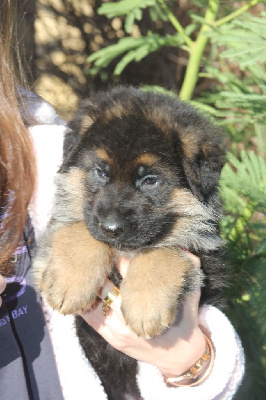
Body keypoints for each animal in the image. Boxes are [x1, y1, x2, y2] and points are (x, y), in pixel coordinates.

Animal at [33, 86, 227, 398]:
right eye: (101, 172)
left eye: (150, 180)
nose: (112, 228)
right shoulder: (48, 253)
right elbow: (81, 227)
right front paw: (70, 283)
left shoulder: (206, 261)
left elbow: (165, 251)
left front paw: (146, 306)